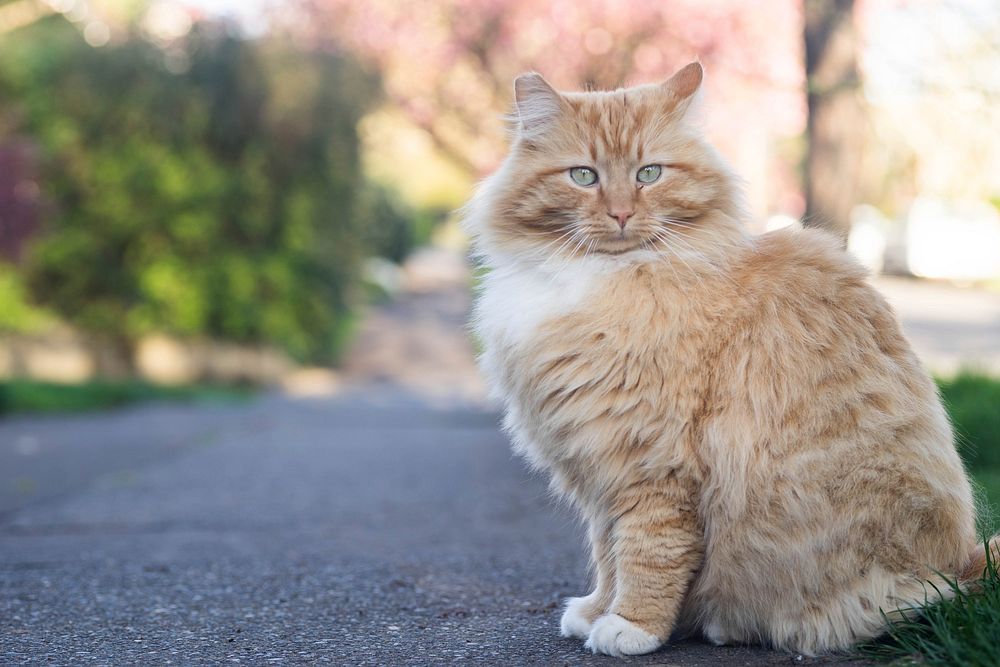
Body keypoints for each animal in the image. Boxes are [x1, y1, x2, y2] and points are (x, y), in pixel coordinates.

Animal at [462, 62, 992, 656]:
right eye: (583, 176)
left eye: (649, 173)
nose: (621, 213)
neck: (604, 280)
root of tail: (960, 567)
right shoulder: (600, 468)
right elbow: (606, 553)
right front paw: (597, 610)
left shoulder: (652, 465)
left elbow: (646, 553)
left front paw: (632, 626)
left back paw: (722, 625)